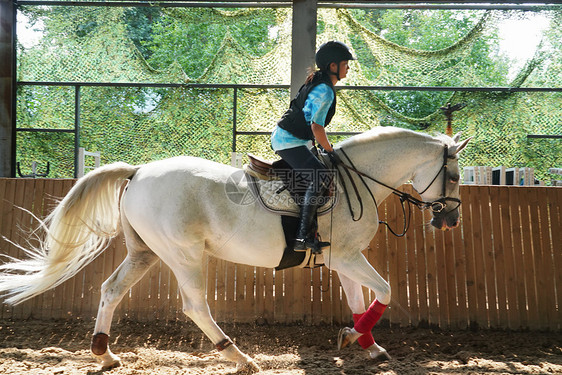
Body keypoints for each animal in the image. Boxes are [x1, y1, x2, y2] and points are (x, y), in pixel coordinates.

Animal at [0, 127, 468, 374]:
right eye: (455, 176)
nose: (450, 220)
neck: (360, 180)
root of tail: (139, 171)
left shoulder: (342, 259)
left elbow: (358, 300)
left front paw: (364, 342)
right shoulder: (347, 257)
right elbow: (385, 290)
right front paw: (359, 337)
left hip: (144, 253)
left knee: (111, 290)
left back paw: (106, 352)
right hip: (184, 255)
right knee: (194, 306)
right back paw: (239, 356)